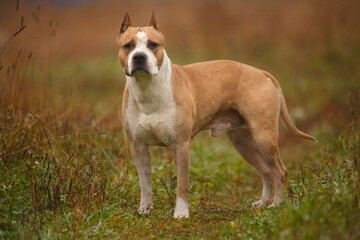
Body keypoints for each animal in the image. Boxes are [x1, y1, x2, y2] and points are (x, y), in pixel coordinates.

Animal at [116, 10, 316, 218]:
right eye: (128, 45)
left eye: (153, 45)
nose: (139, 57)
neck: (147, 90)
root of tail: (261, 72)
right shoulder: (138, 147)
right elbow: (145, 183)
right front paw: (144, 209)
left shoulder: (181, 144)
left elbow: (182, 183)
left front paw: (181, 213)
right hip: (243, 142)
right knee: (267, 172)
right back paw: (262, 203)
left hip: (264, 138)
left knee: (279, 172)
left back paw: (276, 205)